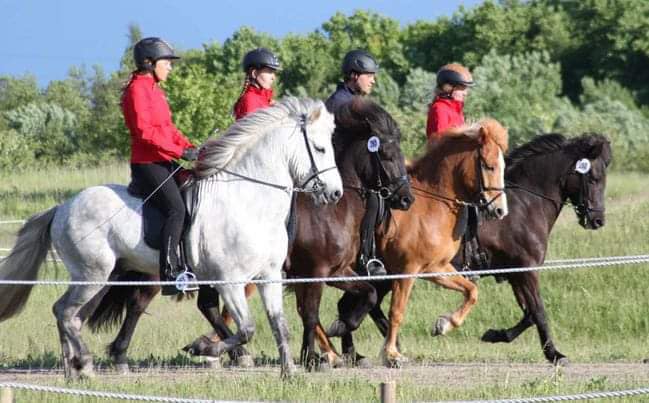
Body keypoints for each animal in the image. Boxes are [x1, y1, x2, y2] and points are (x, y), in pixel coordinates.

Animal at [0, 98, 344, 378]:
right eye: (321, 148)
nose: (336, 194)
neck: (249, 200)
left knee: (71, 315)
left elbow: (279, 326)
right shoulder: (229, 280)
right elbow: (247, 328)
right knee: (65, 313)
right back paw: (83, 363)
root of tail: (62, 207)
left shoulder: (269, 277)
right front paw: (206, 348)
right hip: (91, 274)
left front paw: (290, 373)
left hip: (101, 277)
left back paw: (76, 371)